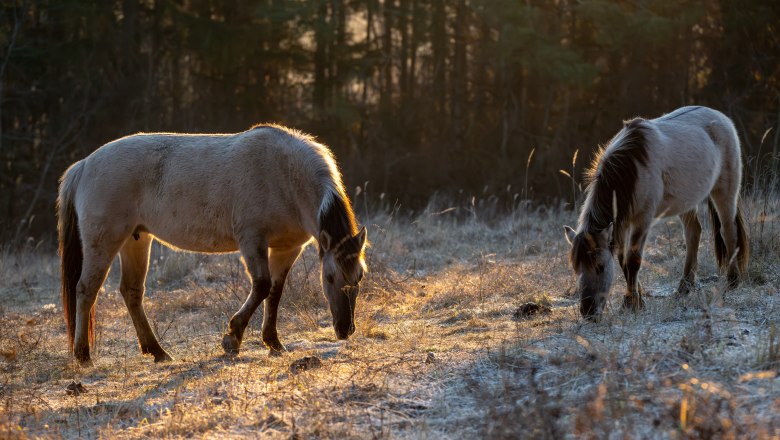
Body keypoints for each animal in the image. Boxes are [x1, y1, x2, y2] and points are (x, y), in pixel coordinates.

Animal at [58, 124, 368, 364]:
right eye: (330, 277)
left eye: (359, 276)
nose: (345, 329)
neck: (284, 174)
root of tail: (84, 165)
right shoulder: (251, 239)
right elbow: (262, 286)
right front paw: (233, 338)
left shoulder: (286, 248)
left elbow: (275, 292)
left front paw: (273, 343)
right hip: (105, 240)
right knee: (86, 290)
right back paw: (83, 356)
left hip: (136, 239)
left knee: (131, 292)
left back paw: (158, 352)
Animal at [564, 106, 752, 320]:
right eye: (576, 268)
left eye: (600, 267)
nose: (588, 313)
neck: (632, 168)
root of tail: (722, 118)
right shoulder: (622, 223)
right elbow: (622, 260)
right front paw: (636, 300)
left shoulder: (642, 220)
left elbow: (633, 260)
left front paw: (631, 304)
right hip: (686, 201)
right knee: (693, 234)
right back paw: (684, 288)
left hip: (725, 191)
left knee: (728, 231)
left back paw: (732, 280)